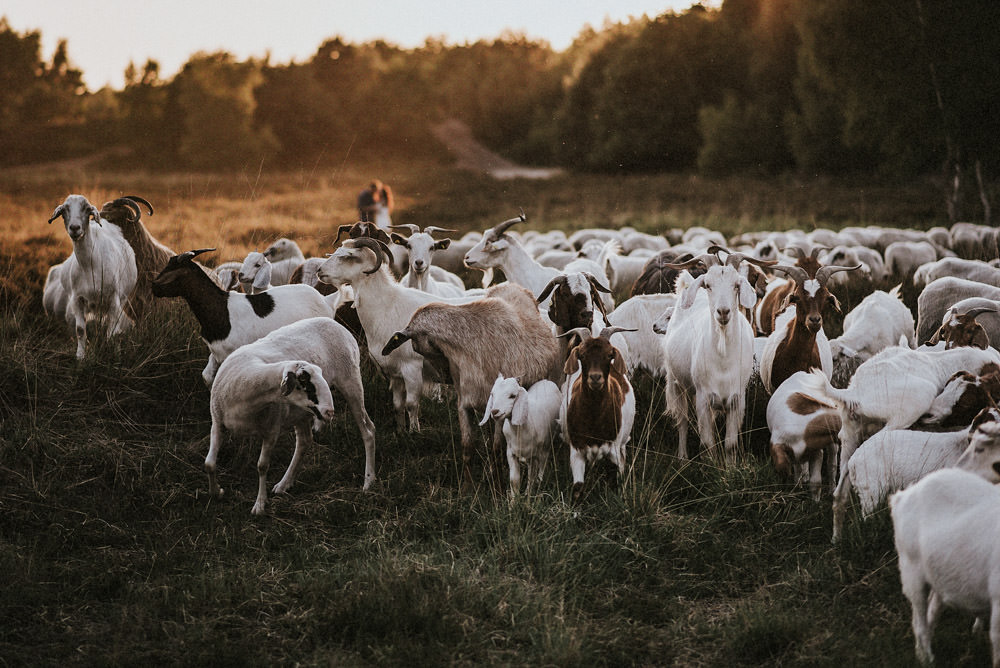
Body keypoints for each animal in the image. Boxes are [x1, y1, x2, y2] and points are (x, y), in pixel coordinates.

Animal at [206, 316, 376, 516]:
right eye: (304, 382)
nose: (329, 412)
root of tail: (334, 322)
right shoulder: (217, 423)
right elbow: (209, 463)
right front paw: (217, 492)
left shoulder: (272, 430)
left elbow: (262, 466)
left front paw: (260, 504)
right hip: (300, 413)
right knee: (304, 441)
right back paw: (284, 484)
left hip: (351, 381)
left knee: (368, 431)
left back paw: (369, 481)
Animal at [560, 326, 636, 504]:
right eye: (581, 355)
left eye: (609, 355)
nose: (595, 377)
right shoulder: (576, 451)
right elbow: (578, 487)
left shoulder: (613, 450)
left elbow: (616, 480)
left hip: (622, 443)